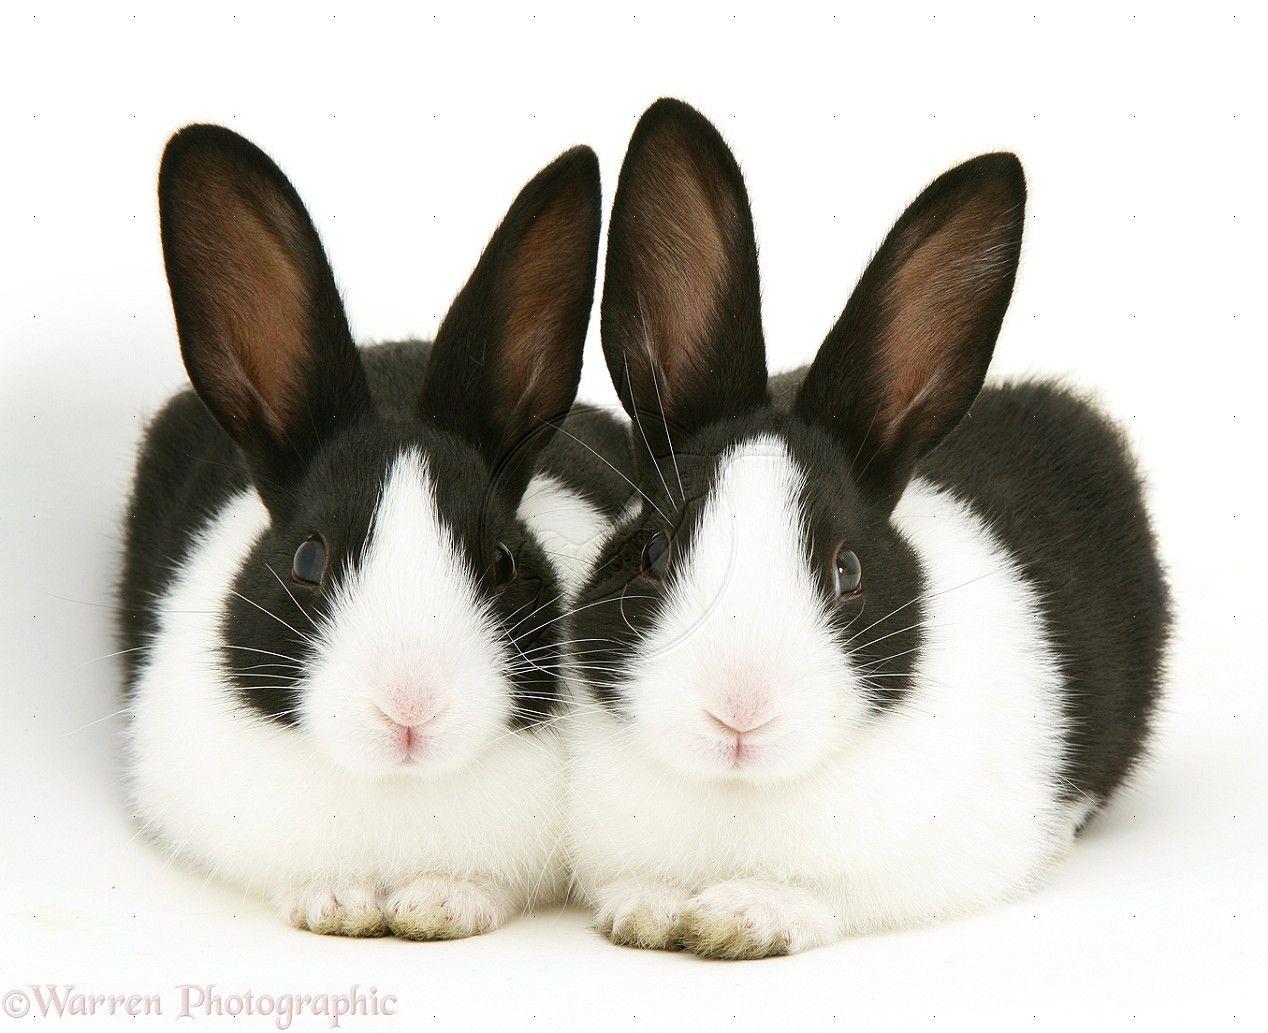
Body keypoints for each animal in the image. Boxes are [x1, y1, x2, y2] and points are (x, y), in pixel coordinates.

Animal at [560, 99, 1170, 958]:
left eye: (846, 571)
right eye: (651, 551)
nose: (739, 711)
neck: (742, 793)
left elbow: (833, 894)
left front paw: (742, 916)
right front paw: (647, 907)